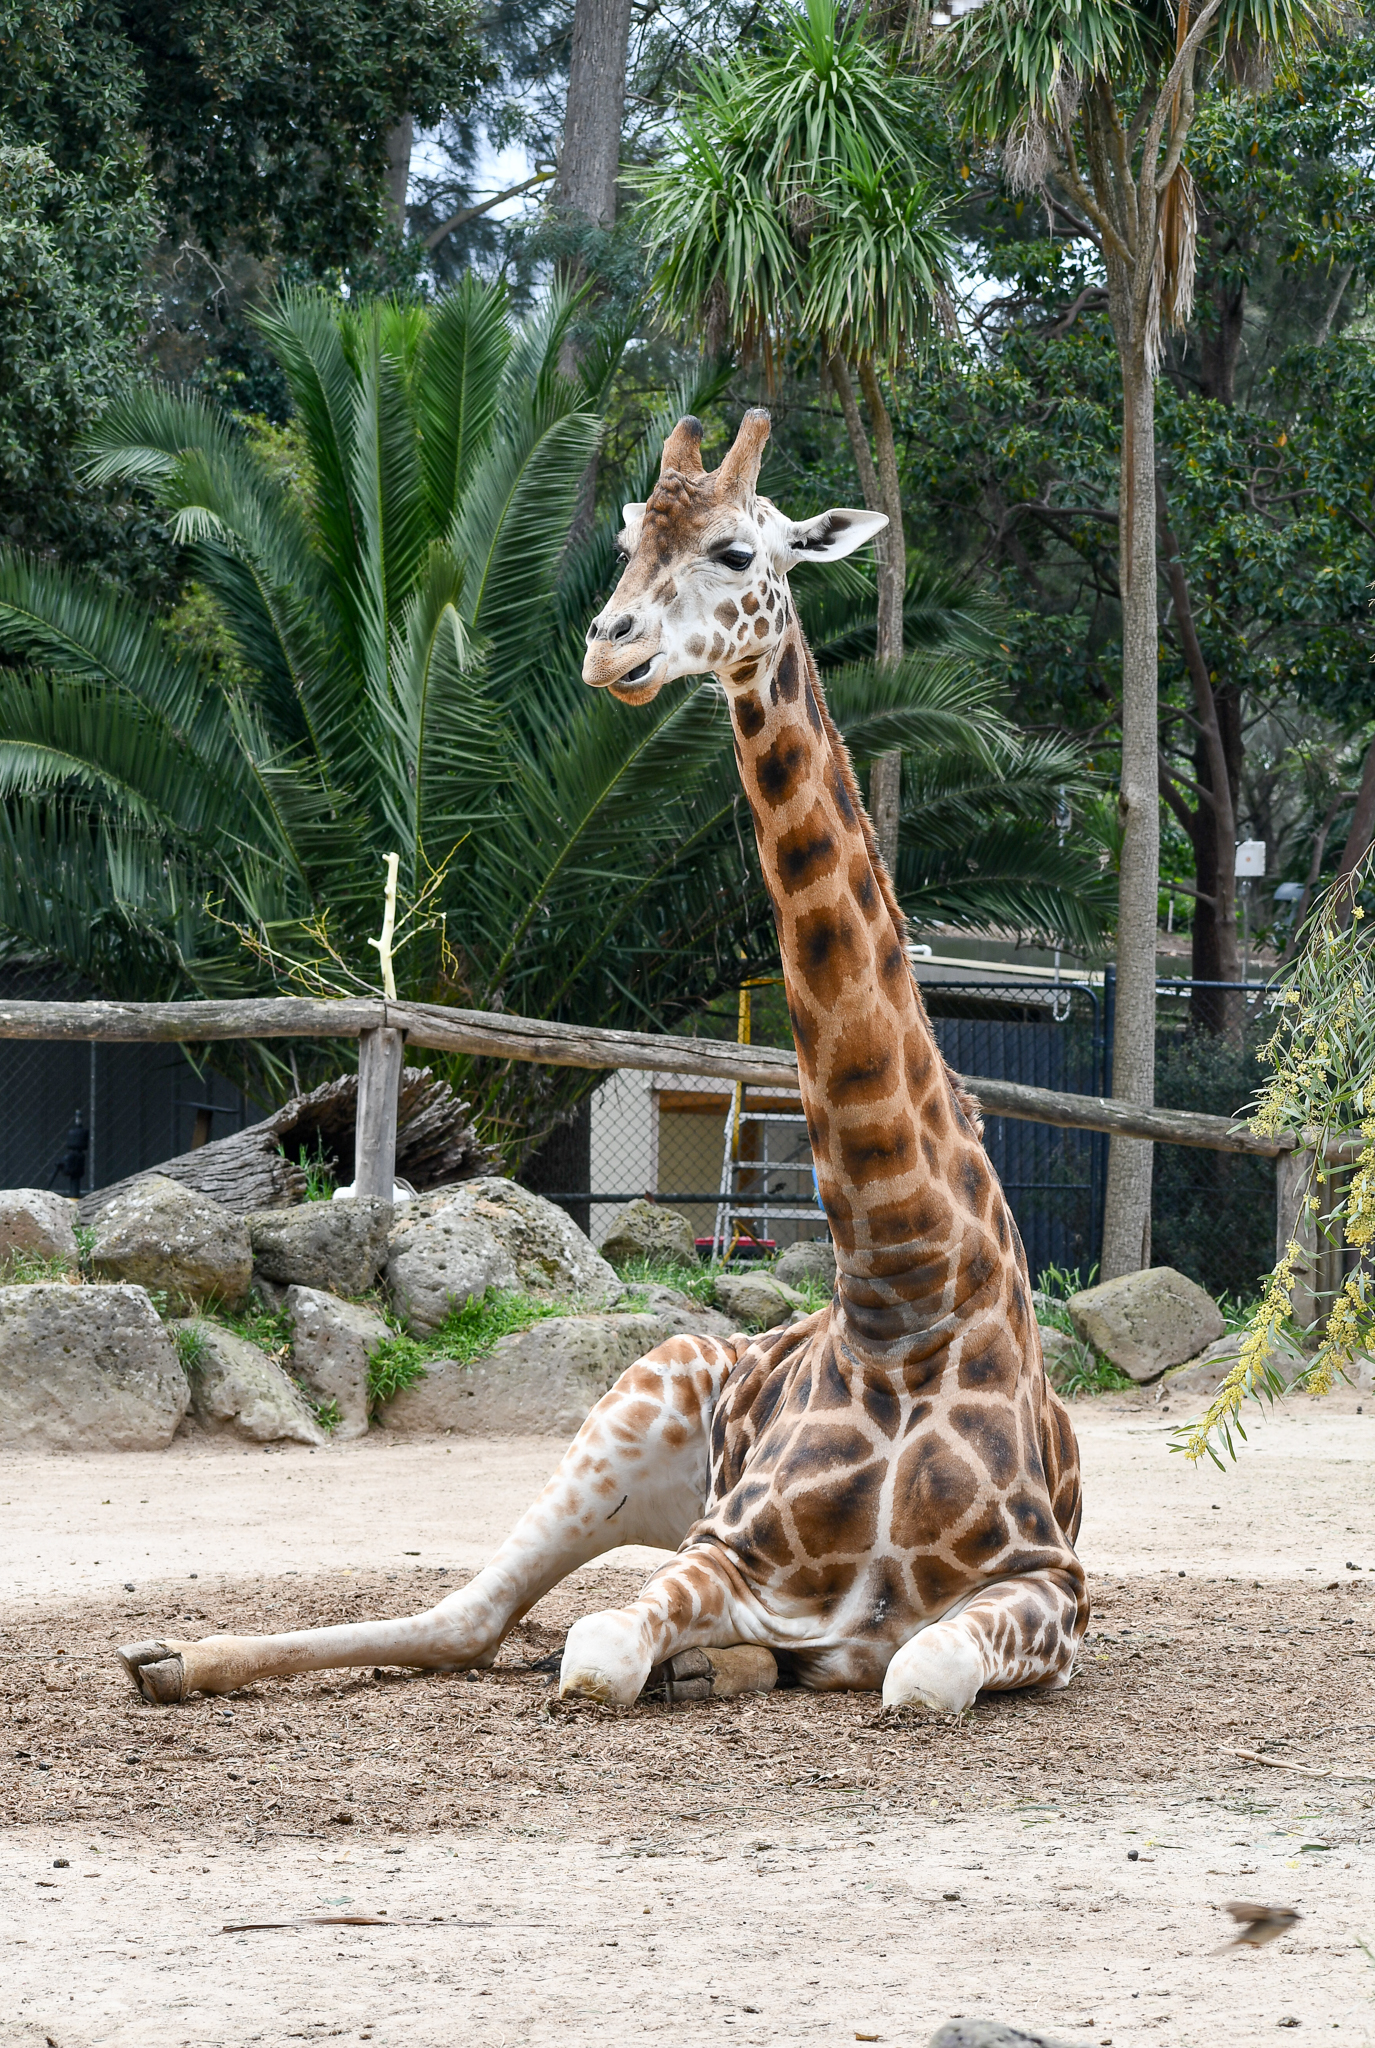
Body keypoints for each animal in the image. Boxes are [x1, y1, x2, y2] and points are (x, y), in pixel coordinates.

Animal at [117, 409, 1086, 1718]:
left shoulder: (1053, 1586)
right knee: (469, 1614)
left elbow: (919, 1665)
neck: (906, 1301)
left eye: (737, 550)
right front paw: (676, 1655)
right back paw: (165, 1654)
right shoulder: (727, 1547)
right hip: (632, 1399)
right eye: (627, 539)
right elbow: (598, 1648)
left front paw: (740, 1660)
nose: (607, 644)